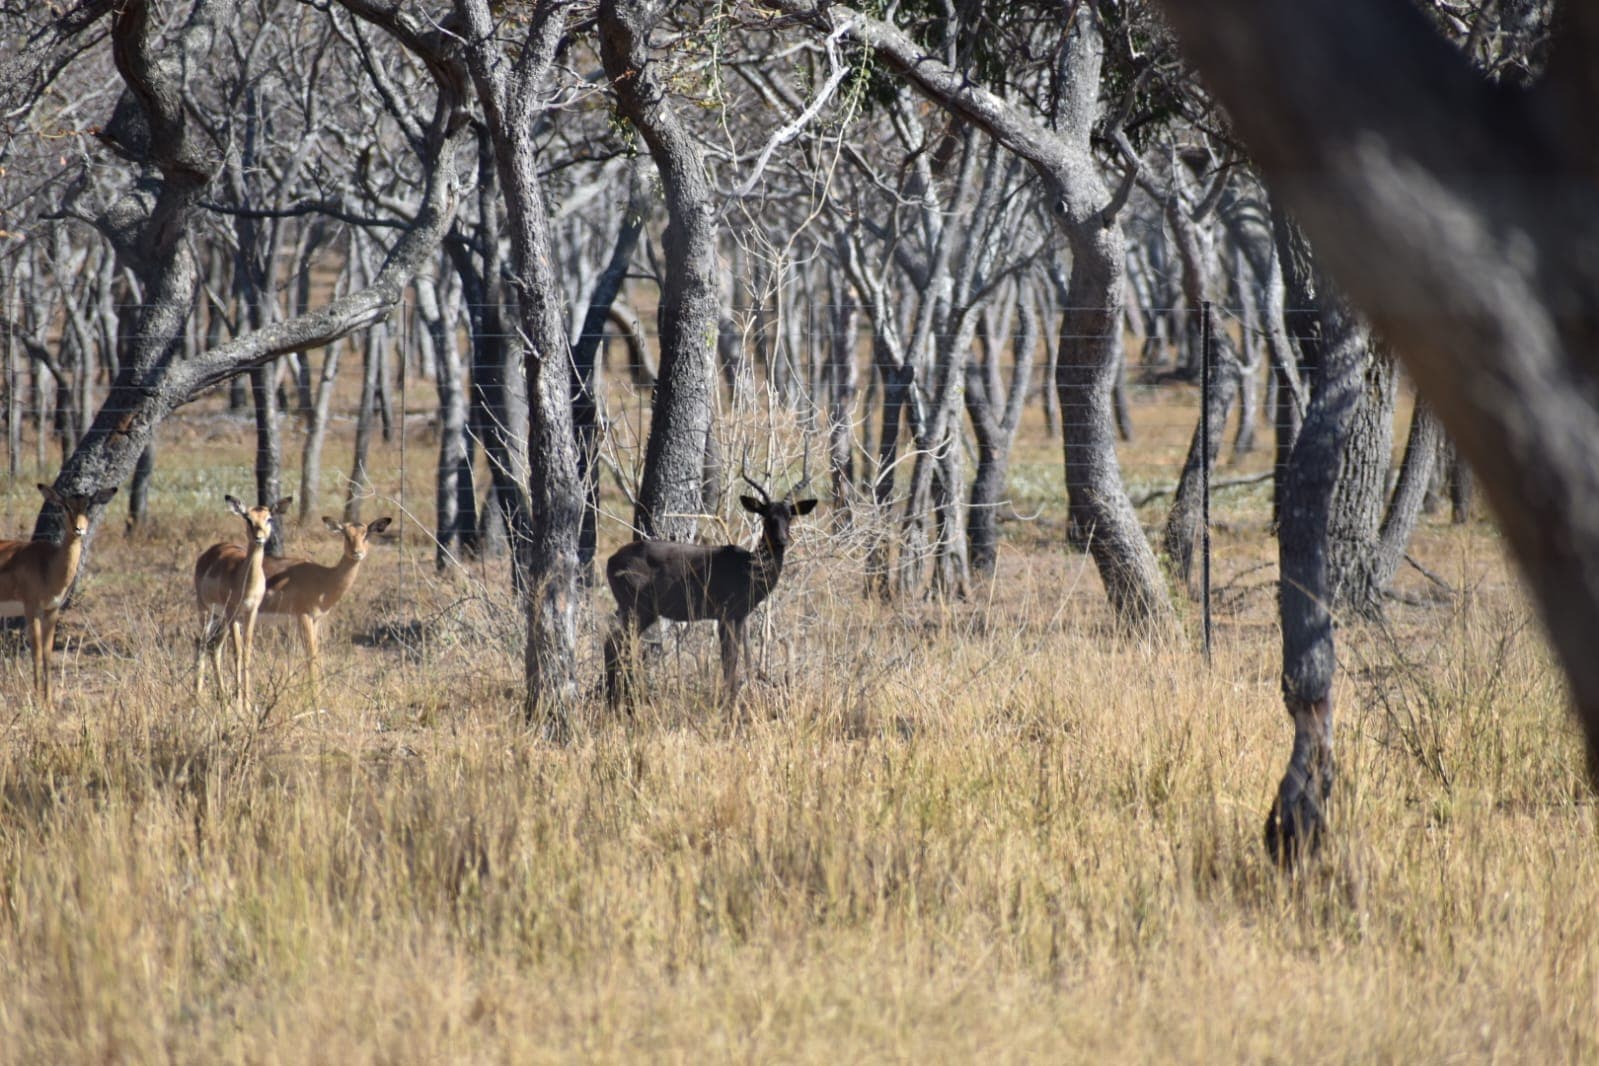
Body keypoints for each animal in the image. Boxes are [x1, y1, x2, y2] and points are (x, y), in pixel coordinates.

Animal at [0, 483, 117, 703]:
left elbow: (47, 654)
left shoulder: (52, 611)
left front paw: (49, 702)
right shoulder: (31, 610)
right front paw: (37, 699)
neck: (48, 566)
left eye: (88, 505)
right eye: (65, 506)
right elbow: (36, 652)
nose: (79, 529)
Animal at [193, 495, 292, 710]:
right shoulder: (232, 611)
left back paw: (222, 697)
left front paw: (246, 702)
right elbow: (237, 652)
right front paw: (240, 703)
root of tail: (210, 552)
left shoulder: (250, 612)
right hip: (207, 610)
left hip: (224, 618)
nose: (259, 537)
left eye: (269, 518)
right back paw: (198, 694)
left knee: (215, 646)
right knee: (202, 643)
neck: (245, 581)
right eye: (248, 518)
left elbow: (246, 651)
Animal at [258, 515, 392, 703]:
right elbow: (311, 656)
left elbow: (318, 656)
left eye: (366, 534)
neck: (323, 579)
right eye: (346, 534)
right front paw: (316, 700)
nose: (357, 552)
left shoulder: (316, 620)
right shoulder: (303, 617)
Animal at [604, 463, 817, 707]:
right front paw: (730, 705)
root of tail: (610, 561)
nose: (782, 540)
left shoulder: (739, 616)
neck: (748, 569)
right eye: (767, 516)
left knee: (616, 645)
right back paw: (618, 702)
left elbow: (735, 659)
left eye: (789, 516)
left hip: (634, 609)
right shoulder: (725, 613)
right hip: (638, 607)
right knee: (615, 644)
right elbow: (729, 660)